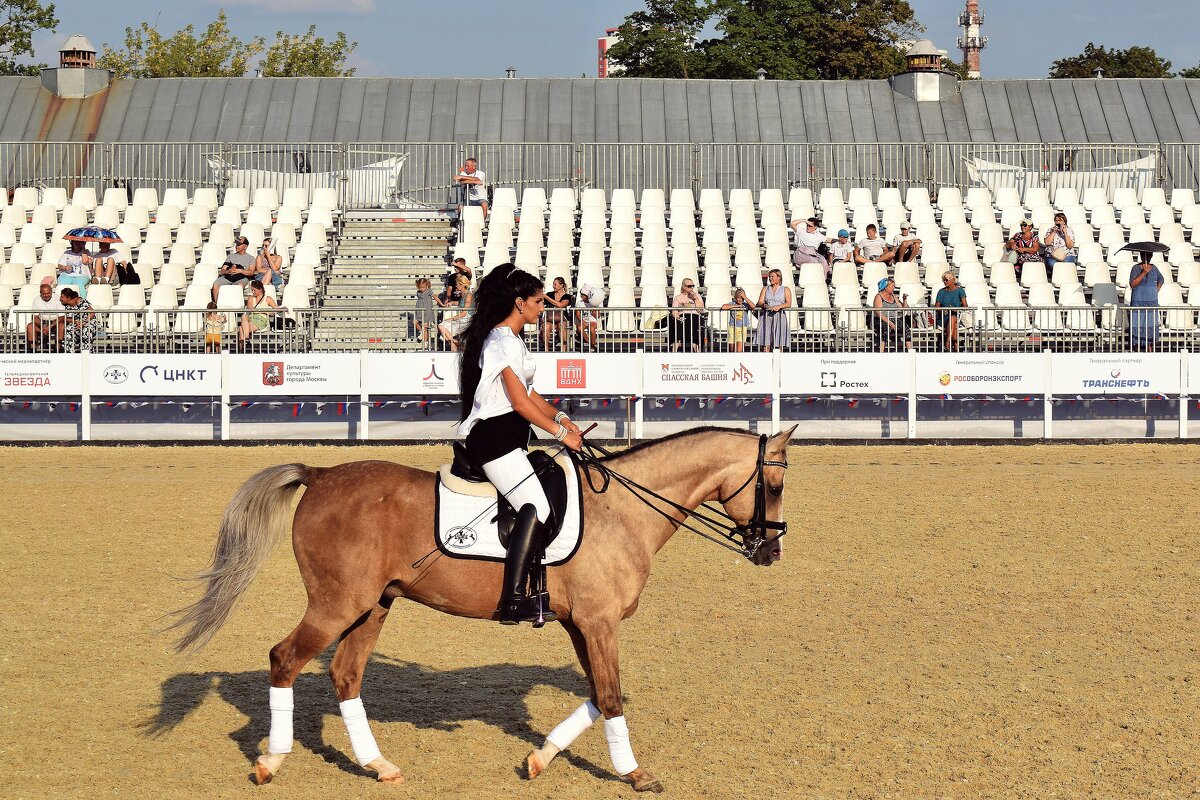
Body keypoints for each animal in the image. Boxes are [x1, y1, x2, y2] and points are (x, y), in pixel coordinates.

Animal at [166, 429, 787, 791]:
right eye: (776, 484)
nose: (772, 551)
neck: (622, 511)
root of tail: (320, 474)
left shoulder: (582, 624)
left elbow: (594, 692)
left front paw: (539, 759)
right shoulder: (598, 622)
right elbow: (609, 696)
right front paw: (634, 774)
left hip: (373, 607)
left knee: (344, 675)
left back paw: (377, 765)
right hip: (336, 604)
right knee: (284, 659)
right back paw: (270, 762)